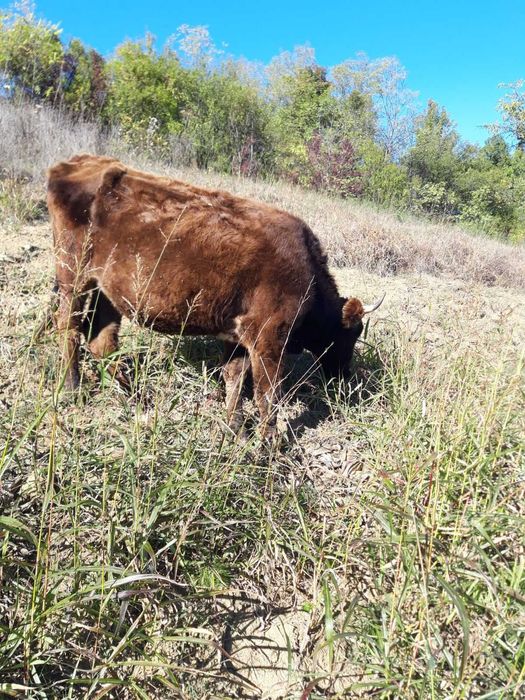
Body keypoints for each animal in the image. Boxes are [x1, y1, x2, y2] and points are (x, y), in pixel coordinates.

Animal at [47, 154, 383, 434]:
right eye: (351, 334)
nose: (345, 376)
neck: (308, 274)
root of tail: (76, 161)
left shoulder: (239, 336)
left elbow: (234, 377)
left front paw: (235, 426)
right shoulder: (269, 337)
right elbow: (268, 395)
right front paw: (270, 445)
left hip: (106, 289)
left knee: (101, 340)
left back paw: (138, 396)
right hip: (72, 273)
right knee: (68, 326)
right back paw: (73, 388)